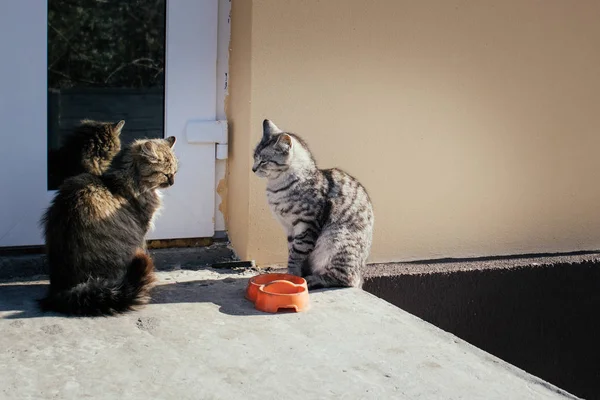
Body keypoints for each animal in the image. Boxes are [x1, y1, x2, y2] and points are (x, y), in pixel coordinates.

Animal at [251, 120, 372, 290]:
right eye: (254, 157)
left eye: (263, 161)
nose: (253, 169)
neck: (277, 187)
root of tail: (361, 275)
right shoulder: (289, 229)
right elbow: (292, 250)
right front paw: (294, 274)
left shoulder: (306, 224)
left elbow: (297, 253)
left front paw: (292, 275)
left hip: (337, 240)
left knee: (344, 279)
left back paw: (314, 279)